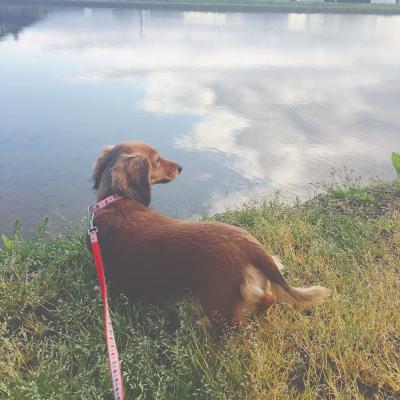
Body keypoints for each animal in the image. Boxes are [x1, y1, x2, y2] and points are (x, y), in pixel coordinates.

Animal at [90, 142, 332, 326]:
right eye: (156, 159)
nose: (180, 167)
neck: (115, 201)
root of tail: (251, 246)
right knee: (268, 299)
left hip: (217, 304)